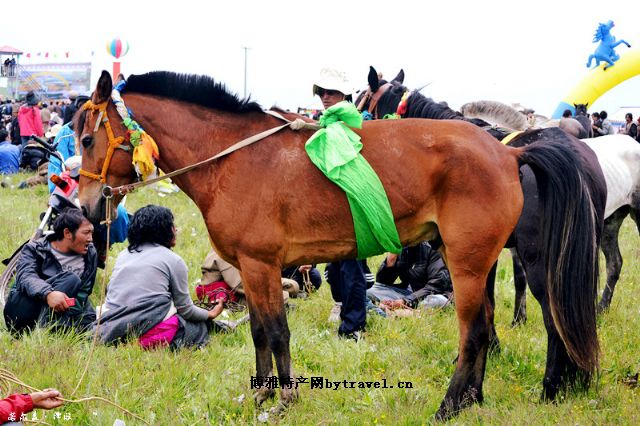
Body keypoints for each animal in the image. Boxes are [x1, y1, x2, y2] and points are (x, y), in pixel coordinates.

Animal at [76, 70, 600, 420]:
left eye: (85, 139)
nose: (86, 206)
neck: (235, 158)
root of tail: (509, 151)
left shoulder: (262, 265)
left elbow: (277, 332)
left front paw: (285, 399)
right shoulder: (251, 268)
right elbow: (259, 332)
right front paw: (262, 393)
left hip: (474, 265)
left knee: (477, 332)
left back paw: (451, 405)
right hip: (476, 261)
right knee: (489, 327)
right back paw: (476, 399)